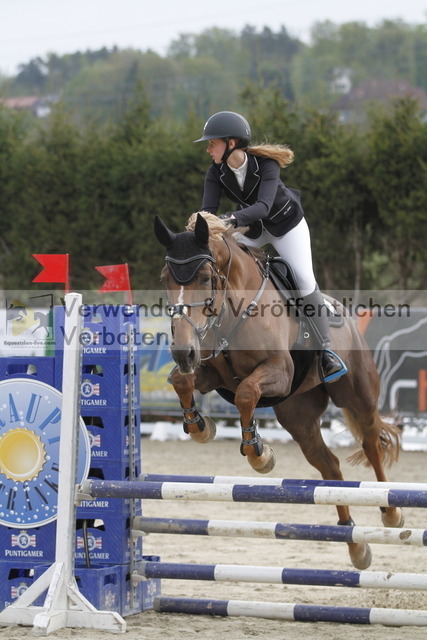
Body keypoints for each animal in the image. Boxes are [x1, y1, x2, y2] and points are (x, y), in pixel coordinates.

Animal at [154, 211, 403, 570]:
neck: (232, 309)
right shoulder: (211, 373)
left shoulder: (279, 372)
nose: (182, 352)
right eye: (165, 279)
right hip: (298, 415)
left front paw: (259, 454)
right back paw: (355, 545)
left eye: (204, 277)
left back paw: (391, 512)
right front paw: (200, 427)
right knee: (329, 466)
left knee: (372, 445)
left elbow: (245, 393)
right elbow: (182, 381)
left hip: (357, 397)